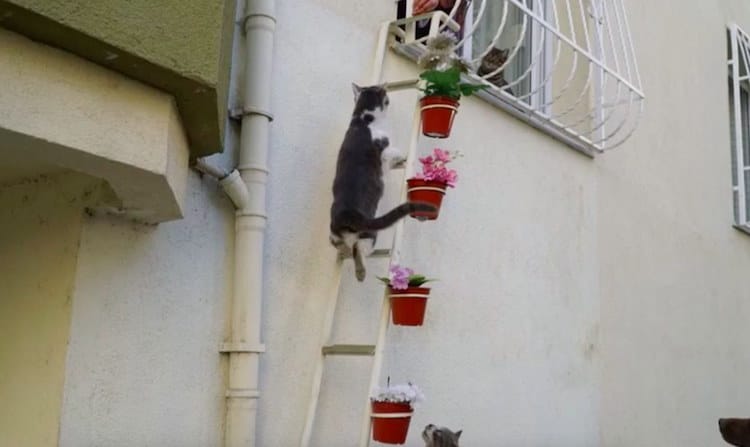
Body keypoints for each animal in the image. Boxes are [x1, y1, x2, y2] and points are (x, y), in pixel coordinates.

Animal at [332, 83, 438, 284]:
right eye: (386, 97)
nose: (389, 97)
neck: (363, 120)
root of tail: (346, 215)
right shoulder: (385, 150)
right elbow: (395, 152)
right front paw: (403, 158)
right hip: (370, 234)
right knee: (359, 250)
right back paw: (361, 273)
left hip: (335, 236)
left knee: (343, 247)